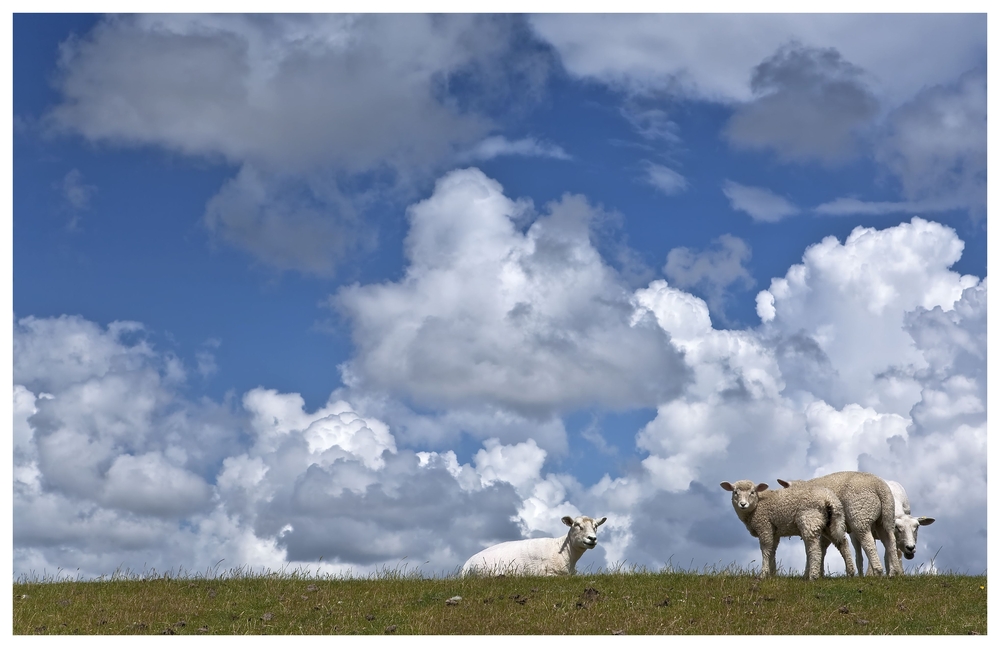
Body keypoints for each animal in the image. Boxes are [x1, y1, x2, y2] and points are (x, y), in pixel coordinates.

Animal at [716, 478, 856, 580]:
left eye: (752, 492)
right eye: (735, 492)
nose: (743, 504)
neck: (757, 506)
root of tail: (830, 499)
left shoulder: (764, 526)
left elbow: (765, 549)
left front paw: (763, 574)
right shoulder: (774, 531)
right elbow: (772, 550)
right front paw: (772, 573)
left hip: (809, 519)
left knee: (814, 549)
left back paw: (813, 576)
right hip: (830, 523)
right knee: (842, 543)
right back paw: (850, 573)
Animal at [776, 470, 904, 576]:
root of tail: (880, 487)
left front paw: (809, 573)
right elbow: (822, 548)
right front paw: (819, 573)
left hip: (861, 516)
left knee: (869, 543)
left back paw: (877, 571)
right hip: (885, 518)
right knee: (890, 541)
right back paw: (894, 572)